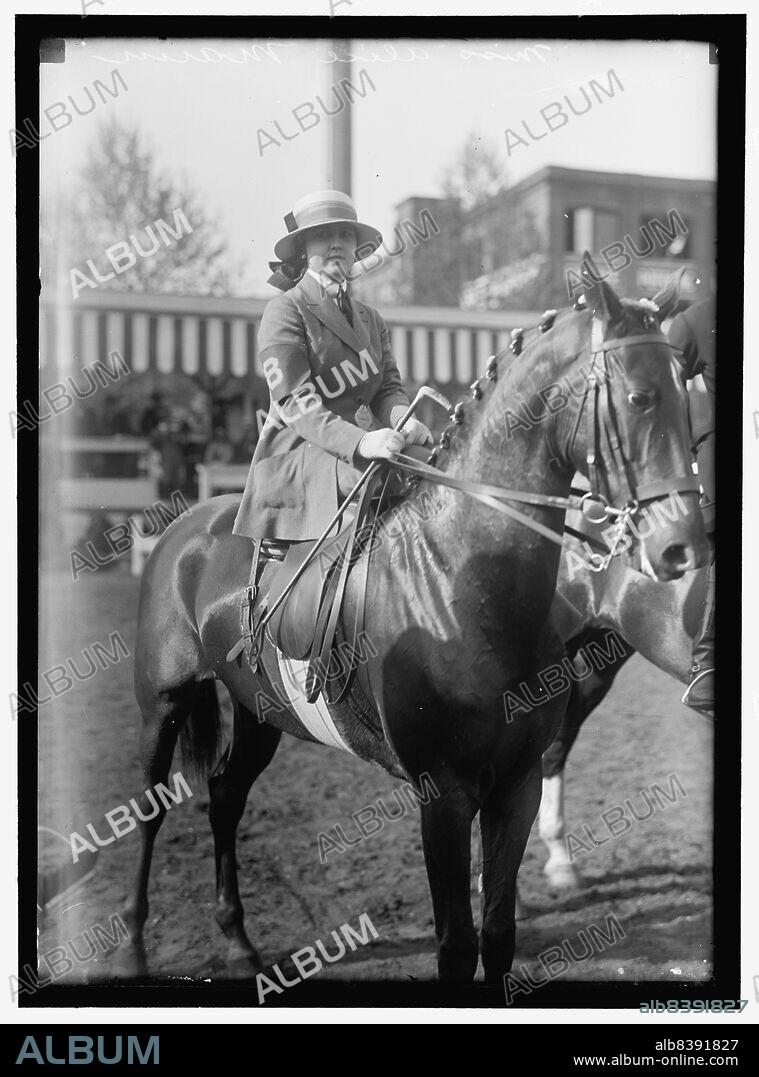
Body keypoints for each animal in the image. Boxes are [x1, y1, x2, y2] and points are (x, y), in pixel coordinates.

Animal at [121, 271, 706, 986]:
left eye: (687, 397)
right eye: (641, 397)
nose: (683, 547)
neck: (463, 582)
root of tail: (187, 521)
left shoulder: (515, 787)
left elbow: (499, 936)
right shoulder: (443, 797)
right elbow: (455, 946)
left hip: (260, 708)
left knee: (226, 796)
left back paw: (237, 941)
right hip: (164, 704)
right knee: (150, 813)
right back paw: (132, 945)